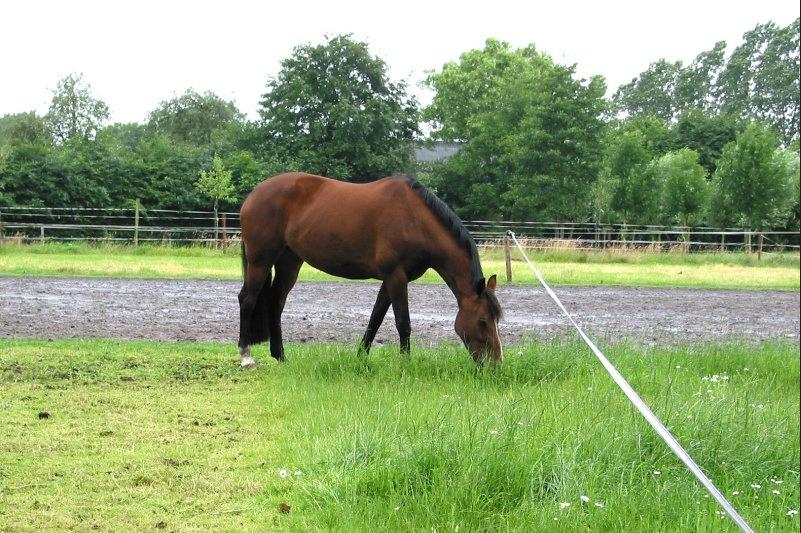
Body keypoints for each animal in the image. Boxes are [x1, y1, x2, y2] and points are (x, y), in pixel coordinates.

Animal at [237, 172, 503, 368]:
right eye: (482, 321)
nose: (495, 365)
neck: (415, 220)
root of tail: (254, 194)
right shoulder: (396, 277)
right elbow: (403, 323)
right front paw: (405, 365)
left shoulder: (391, 279)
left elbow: (375, 318)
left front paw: (361, 358)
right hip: (261, 260)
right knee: (248, 299)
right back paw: (246, 356)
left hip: (289, 261)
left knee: (276, 302)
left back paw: (280, 356)